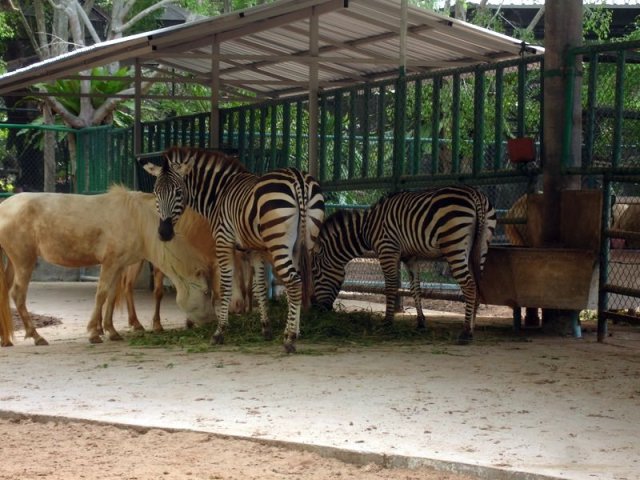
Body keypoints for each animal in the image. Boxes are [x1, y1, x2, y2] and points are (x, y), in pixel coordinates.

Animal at [0, 186, 215, 346]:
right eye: (206, 292)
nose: (210, 321)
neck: (137, 220)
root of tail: (4, 207)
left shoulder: (119, 266)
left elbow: (111, 295)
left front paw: (111, 330)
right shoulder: (110, 262)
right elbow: (101, 294)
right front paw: (94, 333)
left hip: (12, 262)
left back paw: (6, 339)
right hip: (24, 261)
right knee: (17, 294)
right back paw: (36, 336)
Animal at [142, 146, 328, 352]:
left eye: (178, 192)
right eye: (156, 192)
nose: (164, 233)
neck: (219, 193)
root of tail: (298, 178)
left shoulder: (223, 242)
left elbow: (225, 287)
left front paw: (220, 331)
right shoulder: (255, 249)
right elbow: (259, 286)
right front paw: (266, 329)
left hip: (279, 243)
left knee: (294, 283)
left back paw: (290, 340)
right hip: (304, 243)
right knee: (300, 282)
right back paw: (292, 332)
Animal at [312, 185, 498, 344]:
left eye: (315, 274)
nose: (318, 310)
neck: (366, 228)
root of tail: (476, 195)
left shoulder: (387, 250)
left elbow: (391, 286)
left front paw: (387, 322)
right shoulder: (410, 257)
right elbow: (415, 288)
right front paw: (421, 322)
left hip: (454, 245)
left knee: (469, 286)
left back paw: (465, 333)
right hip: (480, 246)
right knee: (477, 286)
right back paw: (472, 328)